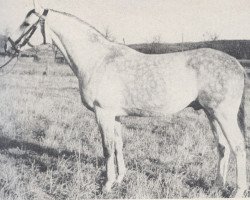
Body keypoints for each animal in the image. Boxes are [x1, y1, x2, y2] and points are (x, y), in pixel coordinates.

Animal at [5, 0, 248, 197]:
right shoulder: (115, 116)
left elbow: (106, 148)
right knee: (223, 147)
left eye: (26, 24)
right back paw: (216, 186)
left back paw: (237, 191)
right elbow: (118, 146)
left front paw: (106, 185)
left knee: (237, 147)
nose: (8, 45)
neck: (97, 60)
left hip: (223, 115)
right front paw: (120, 179)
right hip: (211, 114)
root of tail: (236, 64)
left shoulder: (103, 113)